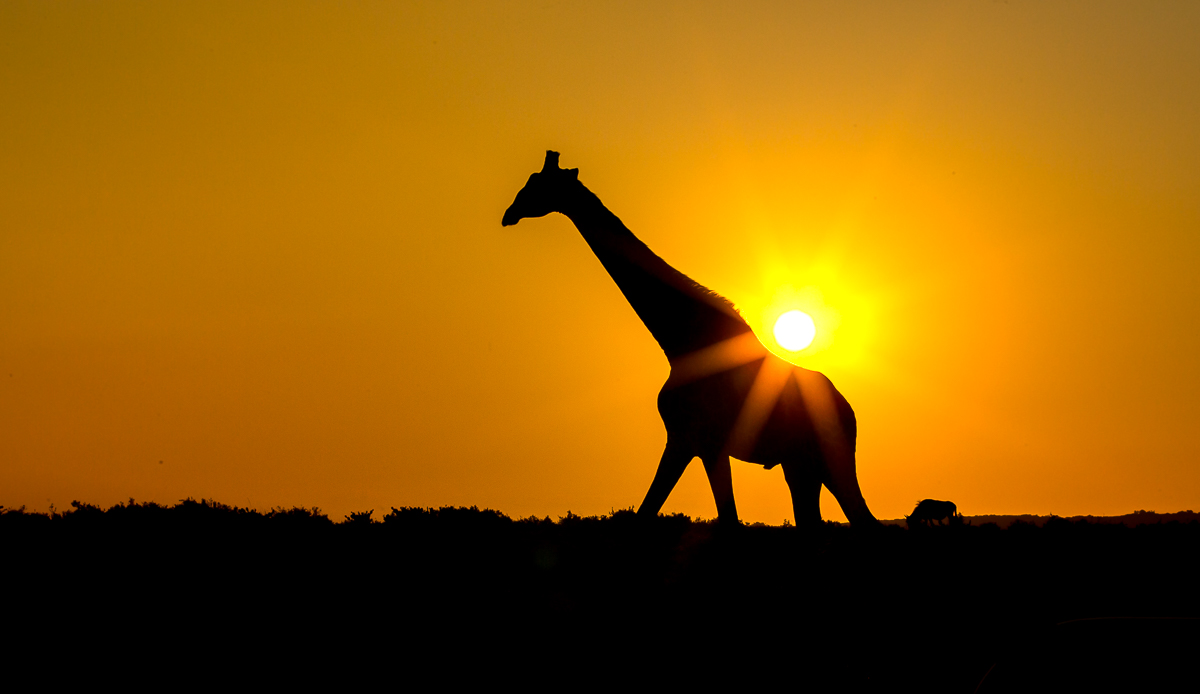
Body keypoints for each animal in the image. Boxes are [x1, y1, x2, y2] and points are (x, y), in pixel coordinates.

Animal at [501, 150, 878, 523]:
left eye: (539, 184)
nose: (509, 214)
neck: (681, 343)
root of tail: (848, 409)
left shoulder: (702, 441)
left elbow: (723, 520)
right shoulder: (685, 441)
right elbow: (649, 512)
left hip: (828, 460)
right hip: (799, 465)